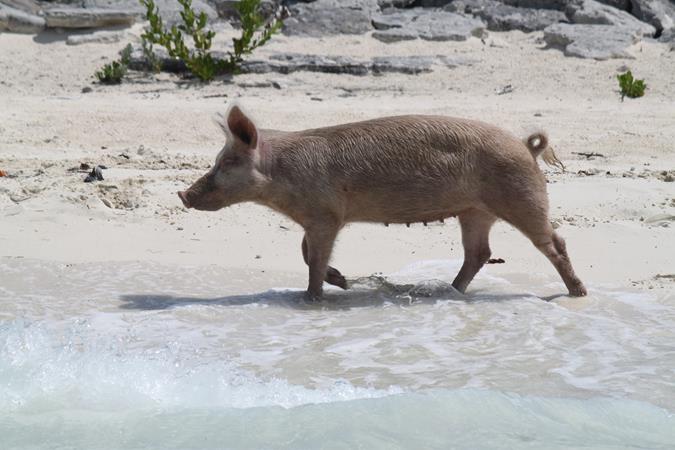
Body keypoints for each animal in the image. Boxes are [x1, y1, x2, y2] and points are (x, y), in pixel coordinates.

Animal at [178, 105, 588, 300]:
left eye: (226, 163)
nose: (183, 194)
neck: (280, 177)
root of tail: (525, 145)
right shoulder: (317, 217)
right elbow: (305, 253)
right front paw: (342, 283)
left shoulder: (326, 214)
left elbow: (313, 258)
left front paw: (312, 297)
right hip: (475, 211)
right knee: (480, 252)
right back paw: (449, 291)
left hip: (521, 196)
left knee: (554, 241)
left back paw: (577, 293)